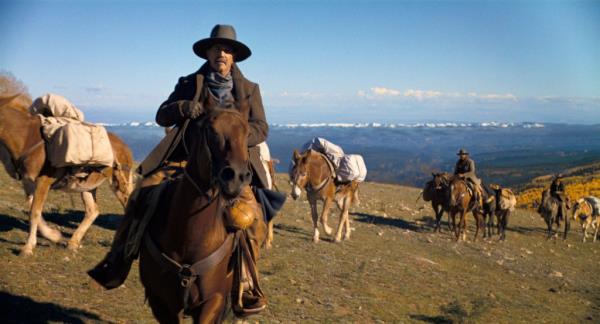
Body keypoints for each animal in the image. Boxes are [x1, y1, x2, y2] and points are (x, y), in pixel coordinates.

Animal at [0, 82, 134, 254]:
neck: (27, 139)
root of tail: (125, 146)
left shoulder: (43, 181)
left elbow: (34, 212)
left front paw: (28, 247)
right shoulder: (28, 182)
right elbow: (33, 210)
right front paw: (53, 236)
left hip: (118, 182)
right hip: (87, 185)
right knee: (92, 211)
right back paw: (73, 242)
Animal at [139, 107, 266, 322]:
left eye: (248, 133)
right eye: (211, 131)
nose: (237, 178)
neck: (189, 239)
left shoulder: (214, 301)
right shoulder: (161, 303)